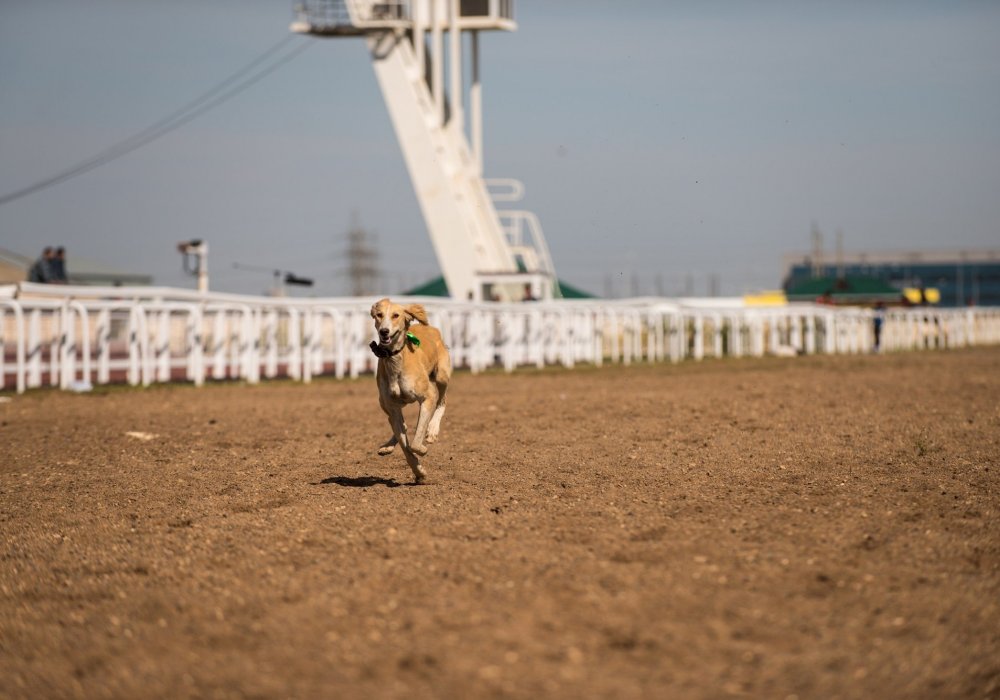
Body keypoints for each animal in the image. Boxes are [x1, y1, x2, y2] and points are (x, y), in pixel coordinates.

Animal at [370, 298, 452, 484]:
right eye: (379, 315)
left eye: (396, 315)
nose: (384, 331)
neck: (396, 361)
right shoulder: (392, 407)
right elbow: (405, 445)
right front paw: (419, 471)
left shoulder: (428, 396)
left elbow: (414, 443)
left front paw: (423, 447)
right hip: (382, 402)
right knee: (400, 424)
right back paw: (387, 447)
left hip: (442, 375)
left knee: (443, 401)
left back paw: (432, 430)